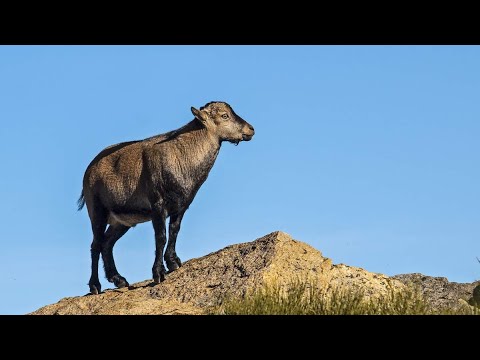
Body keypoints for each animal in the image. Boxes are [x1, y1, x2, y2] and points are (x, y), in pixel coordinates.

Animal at [79, 102, 255, 296]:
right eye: (225, 115)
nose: (251, 129)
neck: (182, 155)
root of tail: (89, 170)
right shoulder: (158, 205)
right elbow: (161, 237)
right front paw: (158, 273)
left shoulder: (181, 205)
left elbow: (175, 230)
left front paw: (173, 262)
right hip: (97, 210)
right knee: (95, 245)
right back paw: (95, 286)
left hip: (121, 221)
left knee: (107, 243)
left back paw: (119, 279)